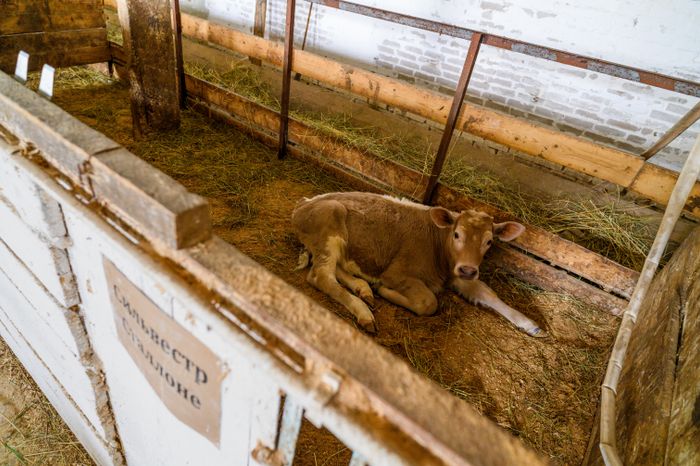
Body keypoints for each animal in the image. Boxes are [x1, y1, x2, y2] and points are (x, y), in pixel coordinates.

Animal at [291, 192, 546, 337]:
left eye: (489, 241)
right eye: (457, 234)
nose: (468, 269)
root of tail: (304, 203)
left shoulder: (456, 273)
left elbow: (487, 293)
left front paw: (530, 324)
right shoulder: (396, 274)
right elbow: (428, 302)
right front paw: (383, 291)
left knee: (337, 269)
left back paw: (363, 290)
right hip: (329, 228)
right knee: (321, 276)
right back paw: (364, 311)